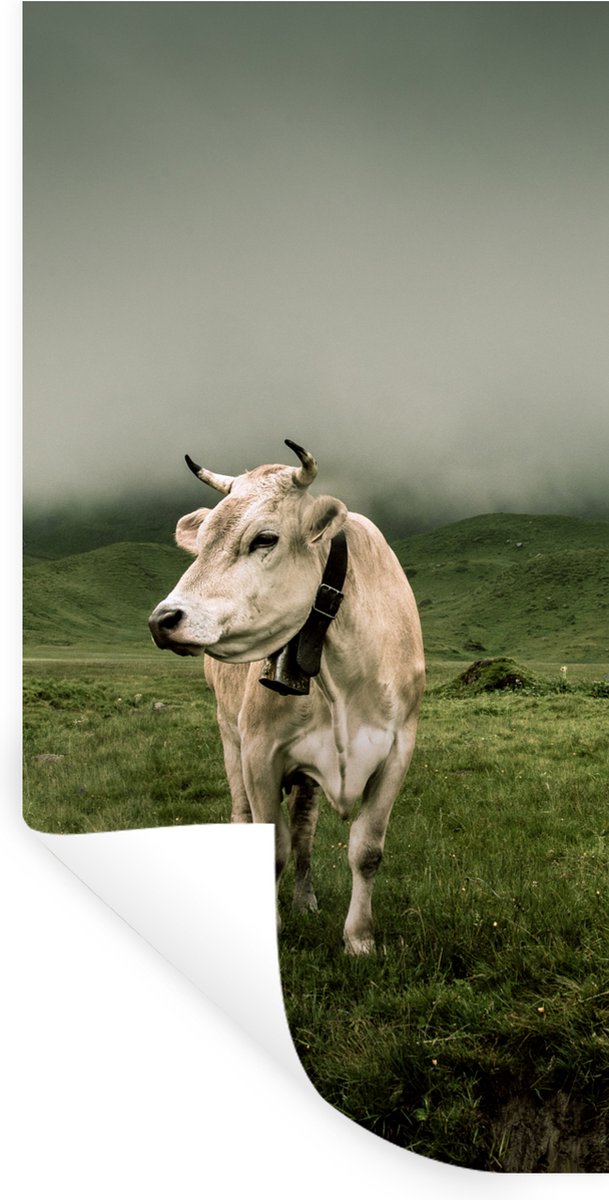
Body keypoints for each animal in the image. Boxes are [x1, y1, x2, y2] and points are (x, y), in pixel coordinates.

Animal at [149, 440, 425, 954]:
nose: (163, 620)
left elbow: (366, 849)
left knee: (303, 831)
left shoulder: (397, 750)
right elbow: (270, 849)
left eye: (264, 539)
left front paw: (359, 938)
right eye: (205, 538)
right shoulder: (259, 754)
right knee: (243, 817)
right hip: (229, 739)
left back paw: (305, 899)